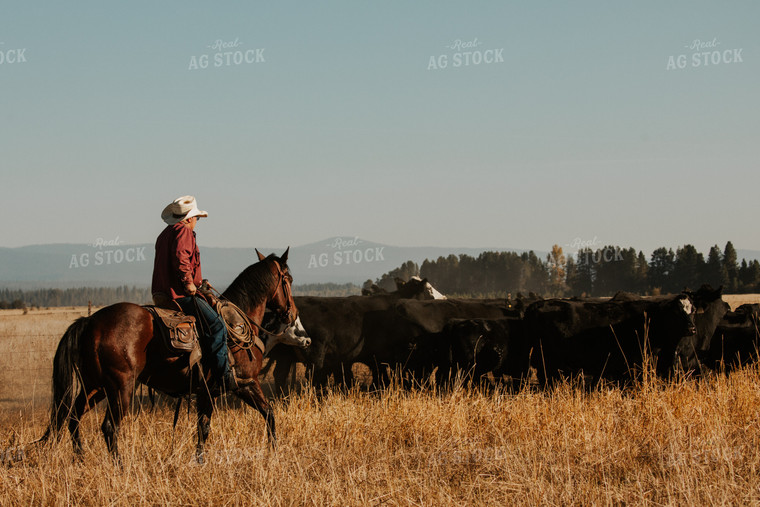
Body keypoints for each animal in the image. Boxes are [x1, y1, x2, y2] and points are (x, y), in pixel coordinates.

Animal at [39, 250, 296, 464]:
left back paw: (80, 459)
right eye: (289, 280)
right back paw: (118, 466)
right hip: (120, 388)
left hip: (94, 386)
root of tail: (91, 321)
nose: (292, 314)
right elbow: (256, 416)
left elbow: (215, 425)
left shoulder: (208, 391)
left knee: (73, 418)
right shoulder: (242, 384)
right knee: (110, 427)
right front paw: (273, 452)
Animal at [524, 292, 696, 386]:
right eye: (676, 312)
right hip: (547, 363)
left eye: (692, 310)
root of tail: (534, 306)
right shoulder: (637, 365)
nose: (691, 328)